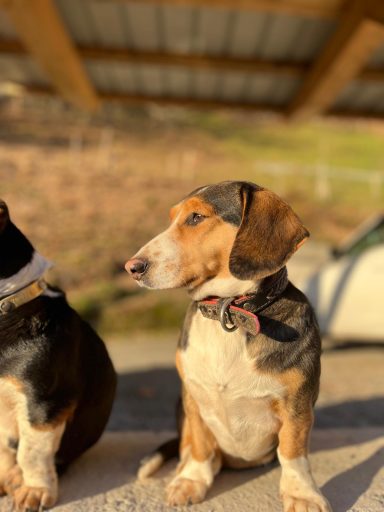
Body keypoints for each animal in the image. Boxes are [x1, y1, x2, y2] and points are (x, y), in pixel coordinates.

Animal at [126, 182, 330, 510]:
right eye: (171, 218)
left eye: (196, 217)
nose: (132, 267)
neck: (227, 311)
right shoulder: (193, 396)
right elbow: (199, 444)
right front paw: (192, 479)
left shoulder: (297, 404)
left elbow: (293, 452)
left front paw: (302, 493)